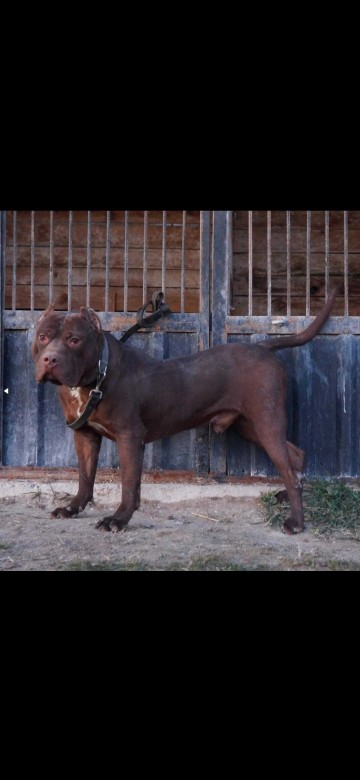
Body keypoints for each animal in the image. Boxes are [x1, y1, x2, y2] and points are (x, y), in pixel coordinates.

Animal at [31, 288, 338, 536]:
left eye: (74, 340)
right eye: (42, 337)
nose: (50, 359)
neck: (95, 376)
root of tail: (262, 346)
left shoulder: (130, 437)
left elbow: (128, 485)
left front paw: (118, 520)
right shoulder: (84, 435)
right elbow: (85, 478)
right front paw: (73, 509)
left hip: (267, 421)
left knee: (287, 467)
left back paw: (296, 522)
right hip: (251, 426)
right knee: (294, 457)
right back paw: (288, 496)